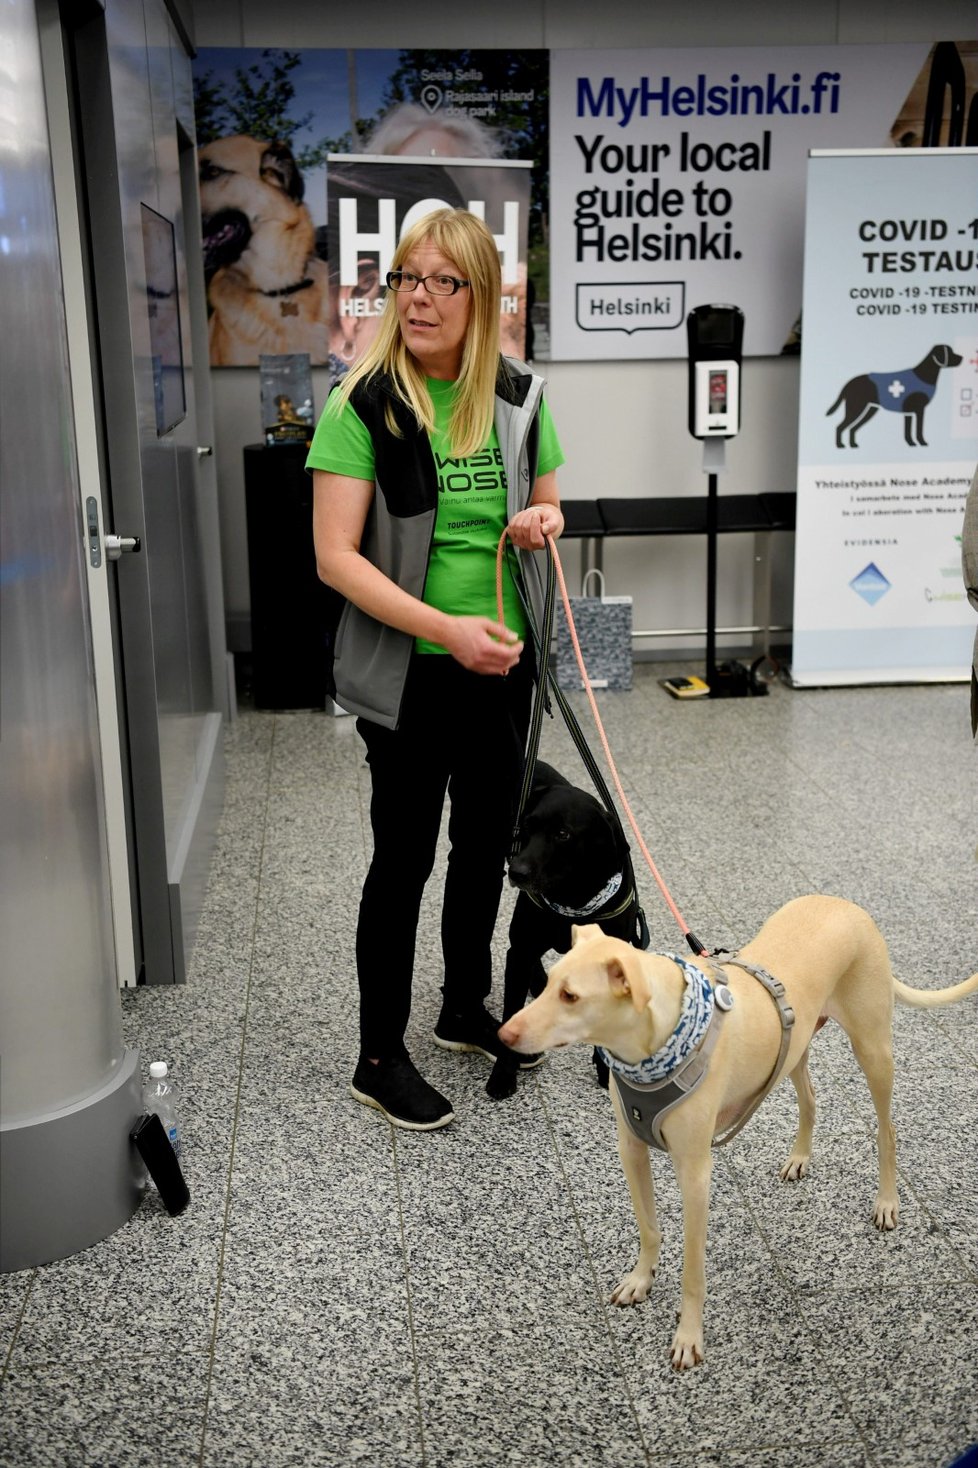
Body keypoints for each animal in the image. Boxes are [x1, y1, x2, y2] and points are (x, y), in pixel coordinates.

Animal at [484, 763, 643, 1098]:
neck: (572, 898)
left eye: (562, 834)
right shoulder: (521, 949)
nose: (517, 872)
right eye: (526, 827)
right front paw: (503, 1074)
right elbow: (510, 1011)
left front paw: (605, 1071)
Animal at [496, 892, 975, 1374]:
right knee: (810, 1100)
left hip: (873, 1048)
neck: (652, 1047)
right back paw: (800, 1157)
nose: (504, 1034)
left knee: (887, 1130)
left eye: (570, 996)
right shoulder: (631, 1149)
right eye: (549, 983)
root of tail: (847, 904)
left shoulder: (695, 1175)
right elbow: (649, 1229)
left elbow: (693, 1270)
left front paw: (688, 1336)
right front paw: (640, 1280)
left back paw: (887, 1201)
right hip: (795, 1045)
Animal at [822, 343, 957, 446]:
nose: (961, 357)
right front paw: (921, 442)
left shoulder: (909, 412)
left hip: (870, 410)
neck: (923, 375)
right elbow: (918, 429)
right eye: (950, 352)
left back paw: (853, 444)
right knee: (840, 426)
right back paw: (840, 445)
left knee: (852, 428)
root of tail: (848, 384)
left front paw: (911, 443)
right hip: (856, 408)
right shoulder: (919, 410)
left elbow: (908, 430)